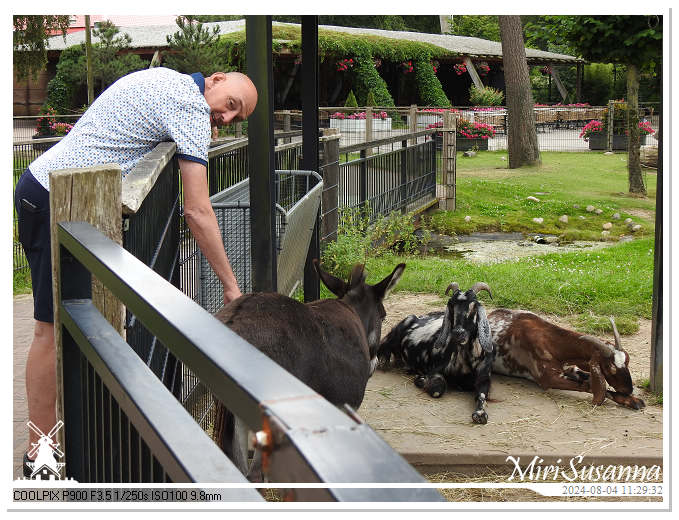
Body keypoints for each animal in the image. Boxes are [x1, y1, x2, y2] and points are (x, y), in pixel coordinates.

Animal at [378, 282, 494, 424]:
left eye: (474, 306)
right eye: (451, 305)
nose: (458, 333)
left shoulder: (484, 377)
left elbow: (482, 395)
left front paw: (480, 414)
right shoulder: (435, 369)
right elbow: (438, 389)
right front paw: (421, 380)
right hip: (395, 333)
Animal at [492, 308, 644, 410]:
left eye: (627, 362)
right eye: (608, 368)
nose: (628, 389)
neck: (552, 342)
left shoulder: (570, 368)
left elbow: (589, 380)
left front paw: (635, 400)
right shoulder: (549, 378)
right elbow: (587, 385)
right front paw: (633, 401)